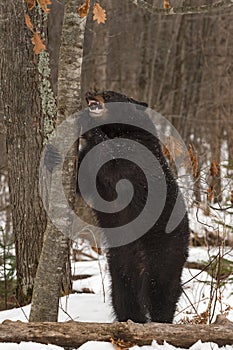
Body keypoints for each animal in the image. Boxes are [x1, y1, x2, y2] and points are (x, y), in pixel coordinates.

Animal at [76, 90, 189, 322]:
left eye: (109, 94)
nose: (90, 93)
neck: (119, 130)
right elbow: (85, 178)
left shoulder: (137, 158)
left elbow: (113, 165)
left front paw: (86, 122)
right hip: (120, 265)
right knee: (123, 297)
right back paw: (131, 320)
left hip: (164, 254)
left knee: (161, 291)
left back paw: (160, 322)